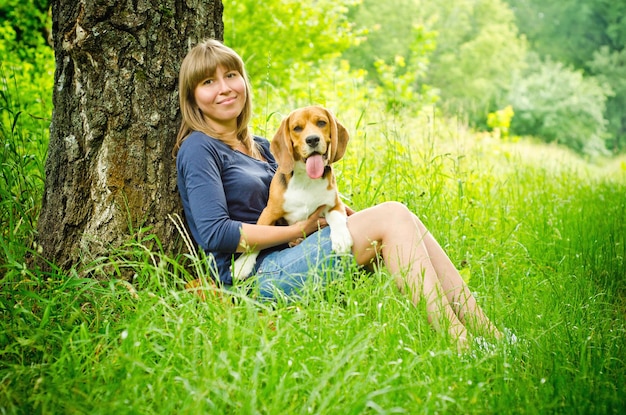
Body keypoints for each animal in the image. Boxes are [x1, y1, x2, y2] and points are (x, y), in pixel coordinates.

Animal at [233, 105, 352, 282]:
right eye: (297, 128)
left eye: (321, 123)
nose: (312, 139)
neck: (306, 180)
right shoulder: (269, 212)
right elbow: (256, 239)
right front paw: (243, 265)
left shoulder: (334, 205)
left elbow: (338, 219)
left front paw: (342, 239)